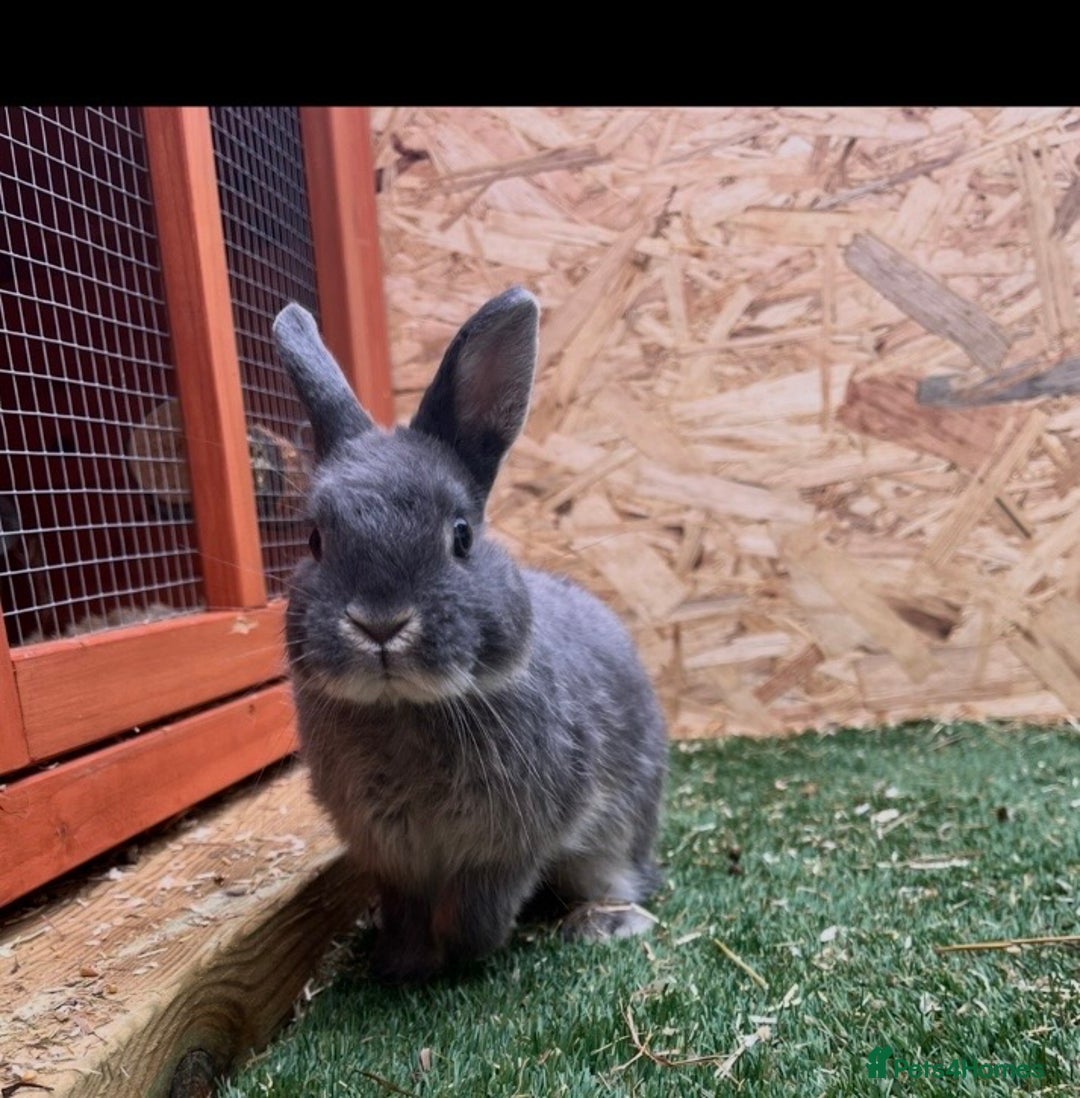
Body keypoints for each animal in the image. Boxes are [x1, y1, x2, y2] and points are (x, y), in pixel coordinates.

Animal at [273, 287, 668, 984]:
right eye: (315, 540)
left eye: (460, 536)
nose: (380, 623)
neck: (402, 710)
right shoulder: (393, 856)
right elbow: (404, 910)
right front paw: (400, 967)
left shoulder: (505, 849)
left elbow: (478, 911)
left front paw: (460, 956)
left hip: (621, 825)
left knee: (619, 873)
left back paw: (605, 924)